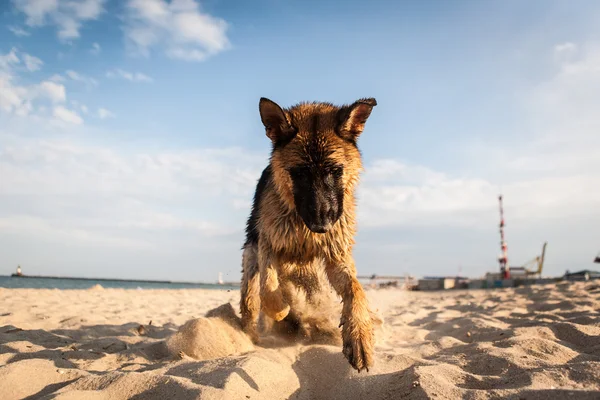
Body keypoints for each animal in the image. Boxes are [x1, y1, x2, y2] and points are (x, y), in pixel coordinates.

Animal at [240, 96, 378, 372]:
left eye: (335, 171)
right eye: (300, 174)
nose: (322, 226)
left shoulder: (337, 258)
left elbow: (356, 289)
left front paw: (359, 336)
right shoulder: (268, 245)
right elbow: (268, 288)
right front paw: (280, 310)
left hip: (313, 279)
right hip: (251, 258)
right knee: (251, 299)